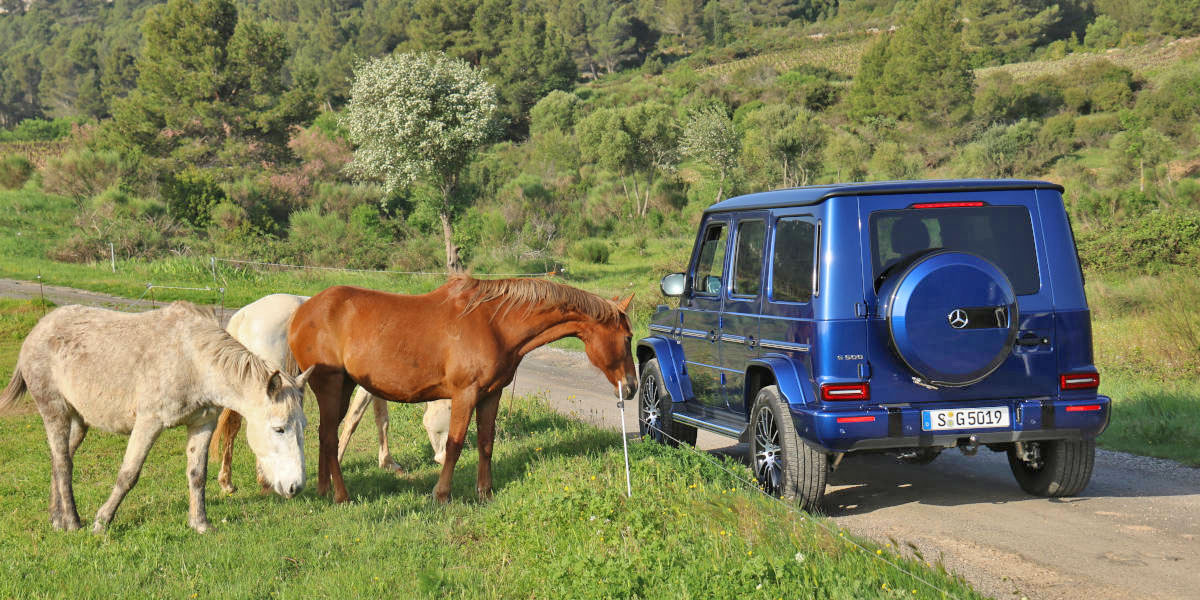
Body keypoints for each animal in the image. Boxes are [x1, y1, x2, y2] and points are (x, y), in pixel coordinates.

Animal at [1, 302, 309, 532]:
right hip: (55, 412)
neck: (193, 360)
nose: (295, 487)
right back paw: (73, 522)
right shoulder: (149, 423)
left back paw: (56, 519)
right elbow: (129, 473)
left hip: (78, 420)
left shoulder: (202, 424)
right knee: (64, 464)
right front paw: (102, 522)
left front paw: (200, 523)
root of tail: (38, 329)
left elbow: (197, 474)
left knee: (59, 459)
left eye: (303, 428)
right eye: (279, 429)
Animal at [208, 292, 451, 494]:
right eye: (450, 409)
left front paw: (388, 462)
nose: (443, 458)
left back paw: (228, 481)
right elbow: (354, 419)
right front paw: (338, 461)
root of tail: (244, 315)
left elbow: (382, 420)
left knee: (233, 426)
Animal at [288, 274, 638, 501]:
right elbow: (455, 444)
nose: (632, 387)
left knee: (324, 434)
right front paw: (441, 494)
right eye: (627, 337)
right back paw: (341, 495)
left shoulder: (491, 395)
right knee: (330, 437)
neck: (493, 323)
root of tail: (302, 312)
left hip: (343, 388)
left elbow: (485, 442)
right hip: (330, 386)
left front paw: (485, 492)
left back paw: (323, 489)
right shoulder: (465, 394)